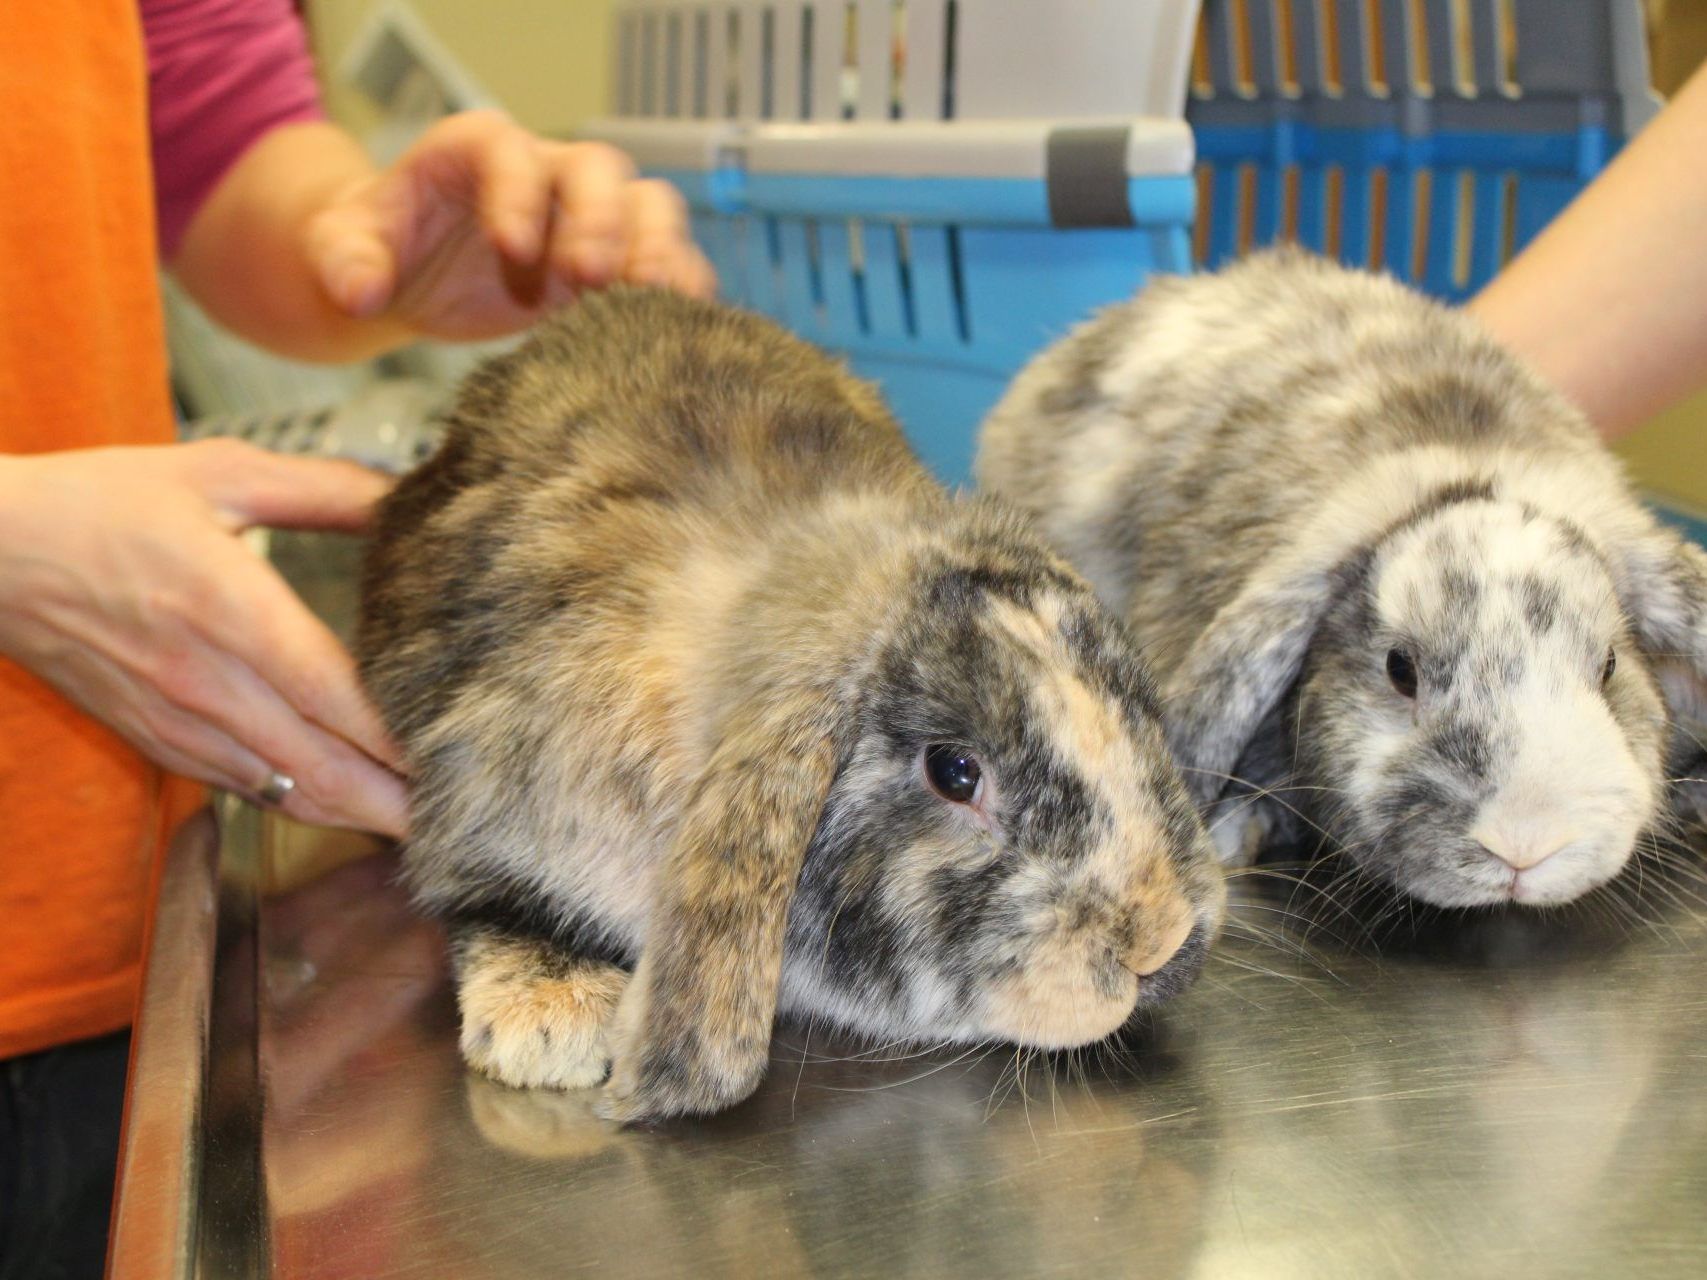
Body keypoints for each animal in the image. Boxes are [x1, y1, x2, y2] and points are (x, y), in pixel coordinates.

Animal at [356, 288, 1229, 1119]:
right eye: (953, 771)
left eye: (1136, 704)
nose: (1159, 941)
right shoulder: (477, 794)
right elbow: (487, 903)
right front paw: (552, 1020)